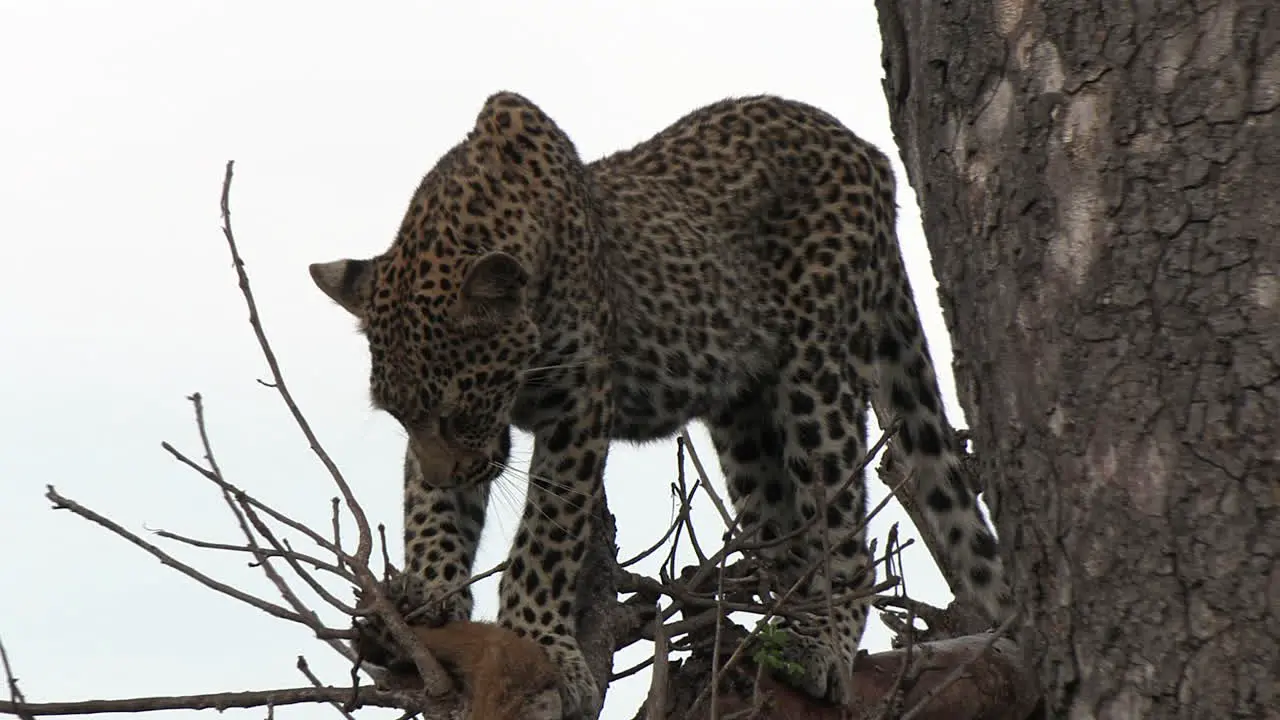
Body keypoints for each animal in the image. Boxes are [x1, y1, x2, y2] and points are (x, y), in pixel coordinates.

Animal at [309, 92, 1008, 712]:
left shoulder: (577, 404)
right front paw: (427, 605)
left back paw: (824, 644)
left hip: (816, 372)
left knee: (841, 525)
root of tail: (869, 152)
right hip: (744, 413)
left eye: (458, 412)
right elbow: (432, 516)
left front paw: (542, 647)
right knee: (781, 528)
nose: (447, 471)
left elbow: (545, 538)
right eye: (403, 417)